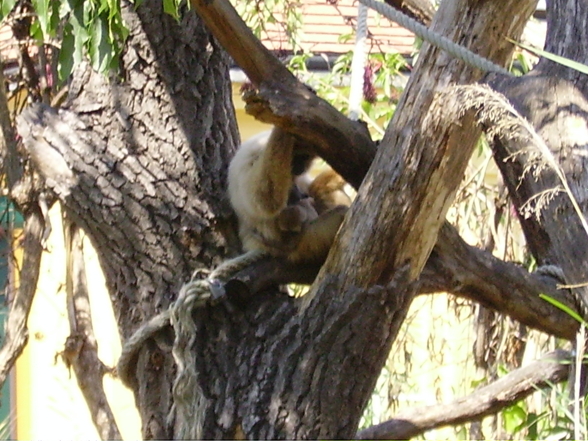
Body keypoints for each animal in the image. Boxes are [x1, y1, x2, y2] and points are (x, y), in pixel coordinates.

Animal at [229, 127, 350, 264]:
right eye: (296, 158)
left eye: (305, 157)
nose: (301, 167)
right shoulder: (251, 158)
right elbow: (266, 200)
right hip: (303, 244)